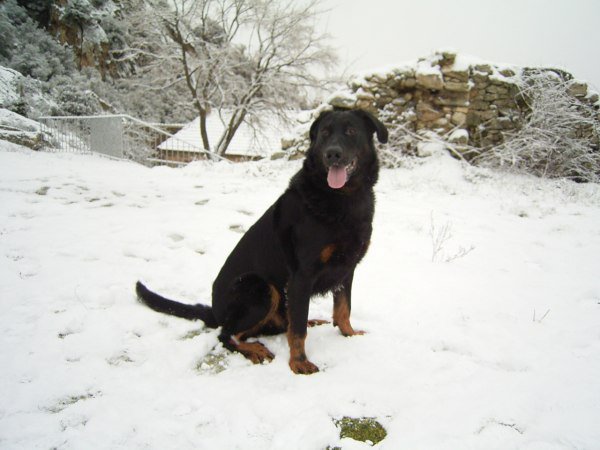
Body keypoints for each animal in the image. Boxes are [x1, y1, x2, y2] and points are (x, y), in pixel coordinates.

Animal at [135, 108, 386, 372]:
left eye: (351, 131)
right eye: (325, 134)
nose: (332, 154)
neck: (342, 197)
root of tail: (216, 312)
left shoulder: (347, 268)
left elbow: (343, 309)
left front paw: (349, 334)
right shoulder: (301, 276)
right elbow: (298, 331)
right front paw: (299, 363)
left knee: (281, 324)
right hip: (260, 287)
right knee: (227, 335)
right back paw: (253, 349)